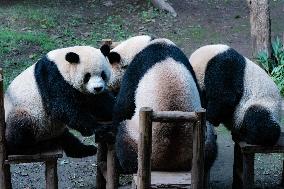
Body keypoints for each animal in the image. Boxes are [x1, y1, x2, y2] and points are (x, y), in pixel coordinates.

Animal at [106, 35, 217, 173]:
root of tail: (170, 163)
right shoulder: (188, 65)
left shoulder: (136, 69)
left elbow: (123, 106)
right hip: (203, 142)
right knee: (211, 147)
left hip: (136, 140)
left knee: (124, 144)